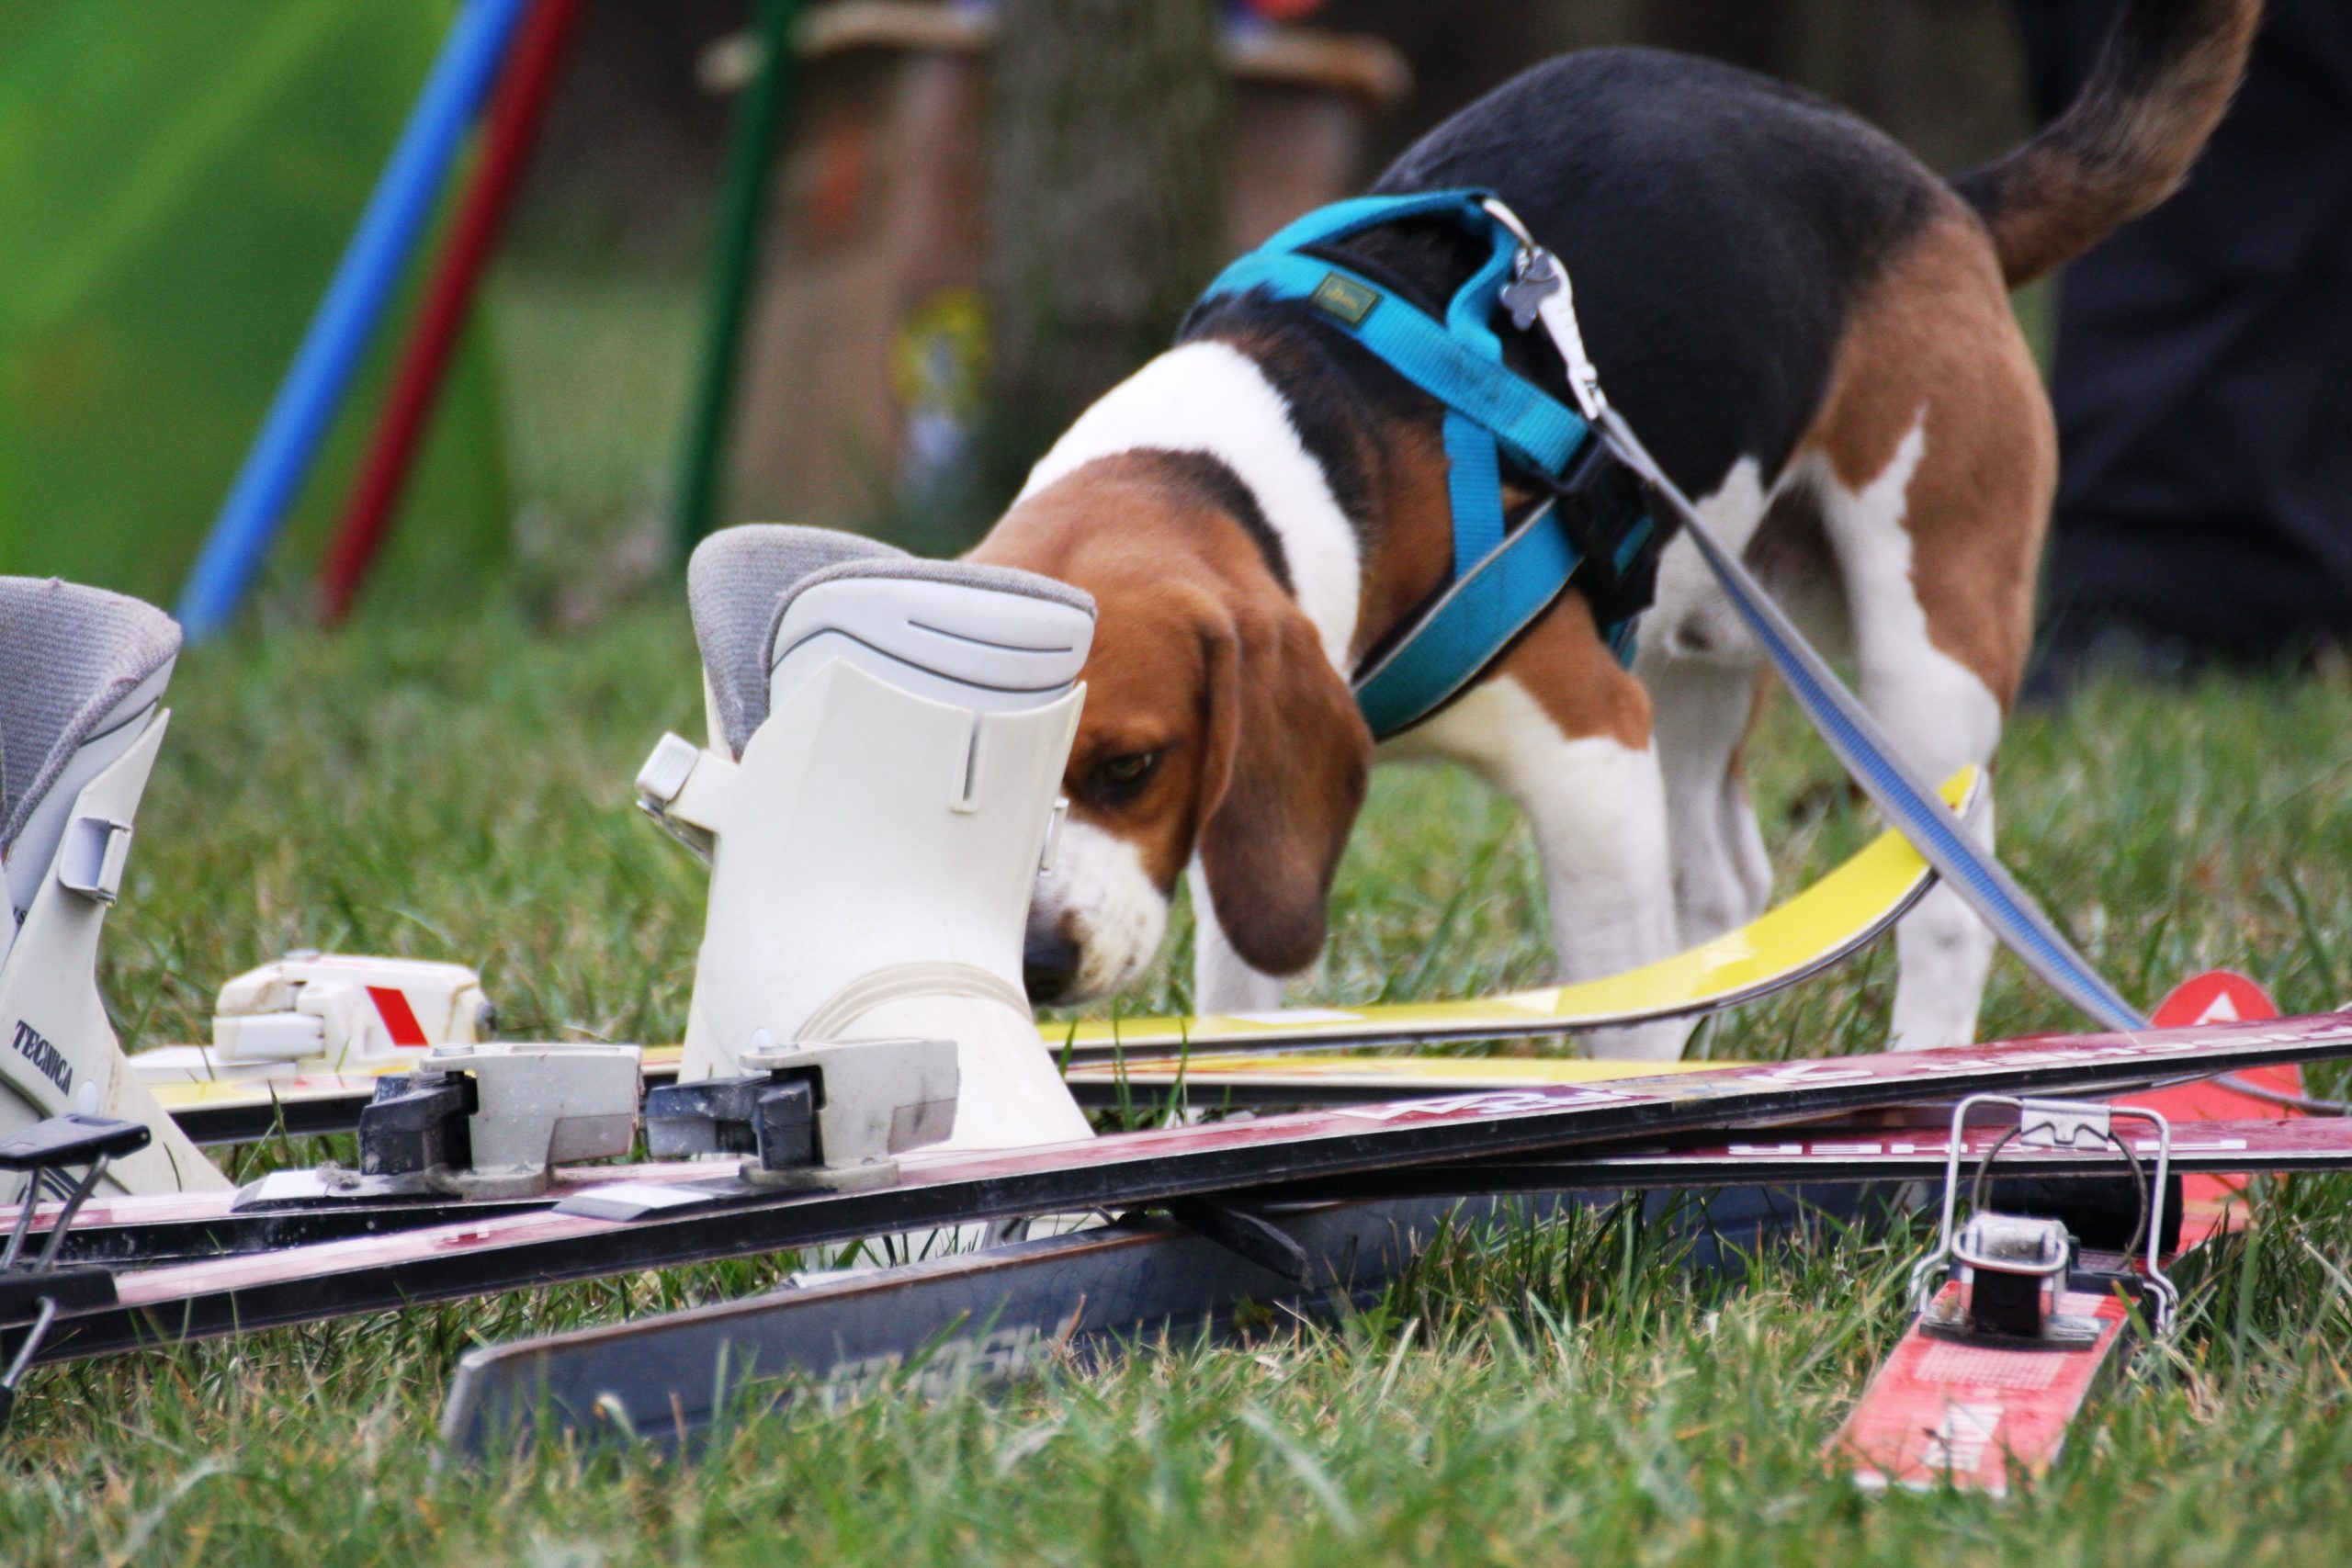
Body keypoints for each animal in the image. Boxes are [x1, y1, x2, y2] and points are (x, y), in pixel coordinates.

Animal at [973, 0, 2257, 1062]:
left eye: (1130, 767)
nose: (1033, 963)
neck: (1306, 431)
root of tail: (1941, 194)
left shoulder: (1590, 752)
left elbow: (1613, 1007)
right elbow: (1245, 990)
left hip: (1921, 654)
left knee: (1945, 902)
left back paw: (1914, 1062)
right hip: (1697, 641)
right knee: (1727, 887)